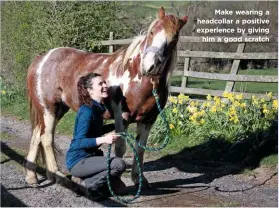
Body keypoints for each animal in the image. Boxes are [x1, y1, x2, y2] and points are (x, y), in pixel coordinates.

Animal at [25, 7, 188, 188]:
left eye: (173, 40)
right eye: (152, 32)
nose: (149, 66)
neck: (135, 77)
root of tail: (40, 60)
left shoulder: (148, 120)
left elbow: (140, 149)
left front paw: (139, 180)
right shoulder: (122, 117)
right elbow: (120, 148)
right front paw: (117, 182)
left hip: (57, 109)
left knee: (37, 135)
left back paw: (32, 177)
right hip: (49, 108)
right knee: (46, 138)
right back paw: (57, 174)